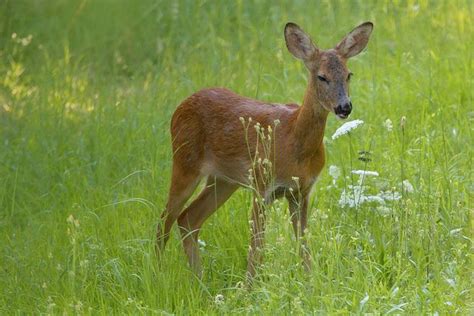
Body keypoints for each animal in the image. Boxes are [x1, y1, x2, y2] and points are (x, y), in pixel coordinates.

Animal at [157, 21, 372, 278]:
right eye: (322, 76)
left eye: (349, 74)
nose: (344, 107)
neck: (294, 144)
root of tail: (180, 106)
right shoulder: (262, 185)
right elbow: (256, 248)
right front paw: (250, 286)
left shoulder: (301, 191)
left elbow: (303, 246)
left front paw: (309, 281)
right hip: (184, 161)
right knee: (164, 221)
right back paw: (158, 272)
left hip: (223, 180)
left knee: (188, 219)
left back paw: (199, 280)